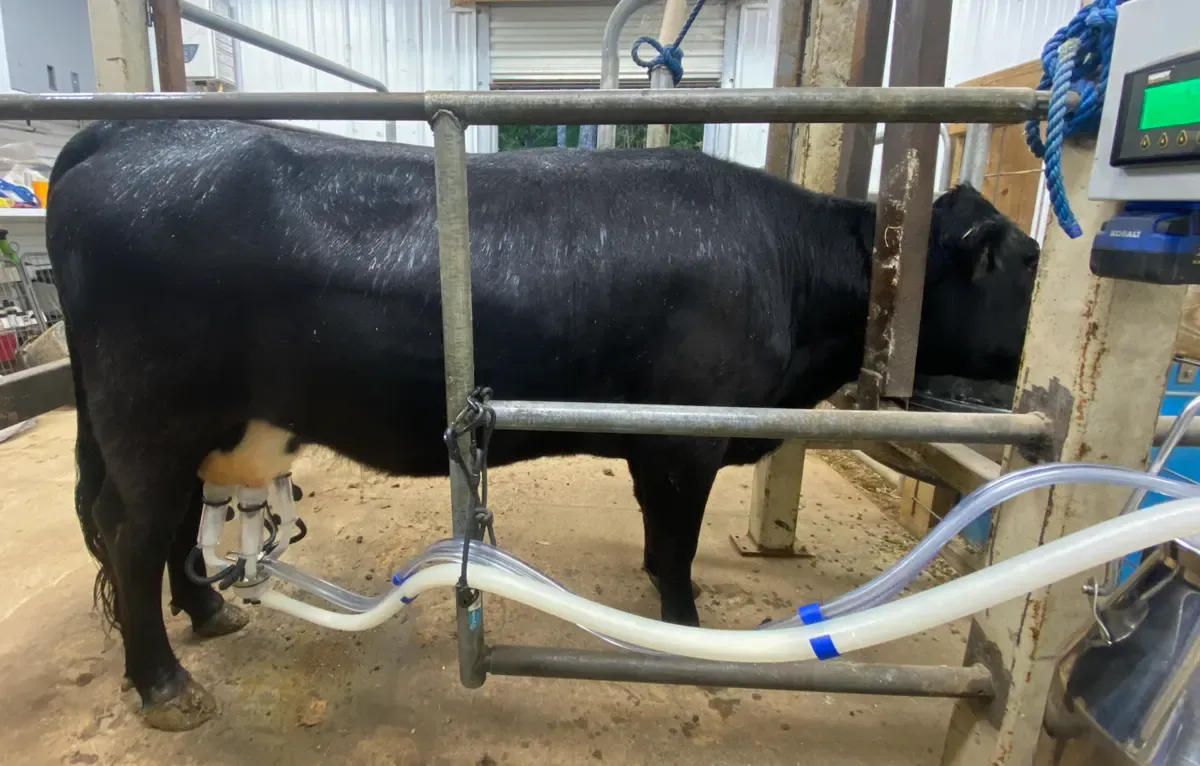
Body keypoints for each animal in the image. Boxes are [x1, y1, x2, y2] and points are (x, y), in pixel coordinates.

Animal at [46, 118, 1039, 730]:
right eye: (1024, 261)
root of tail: (129, 131)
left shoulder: (659, 443)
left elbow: (660, 536)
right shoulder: (688, 439)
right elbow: (677, 546)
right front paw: (686, 630)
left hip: (177, 432)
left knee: (168, 529)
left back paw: (211, 612)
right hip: (149, 421)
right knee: (133, 538)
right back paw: (165, 684)